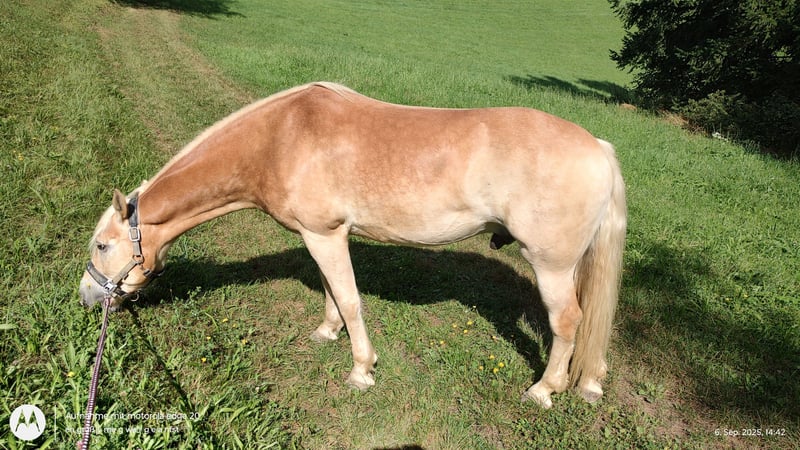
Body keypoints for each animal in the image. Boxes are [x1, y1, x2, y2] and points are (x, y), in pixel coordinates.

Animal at [79, 82, 626, 408]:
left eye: (102, 245)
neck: (278, 139)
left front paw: (362, 369)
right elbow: (330, 291)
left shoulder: (325, 234)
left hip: (551, 266)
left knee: (568, 322)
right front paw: (327, 332)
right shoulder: (320, 236)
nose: (88, 297)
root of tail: (600, 148)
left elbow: (350, 298)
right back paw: (590, 381)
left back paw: (544, 389)